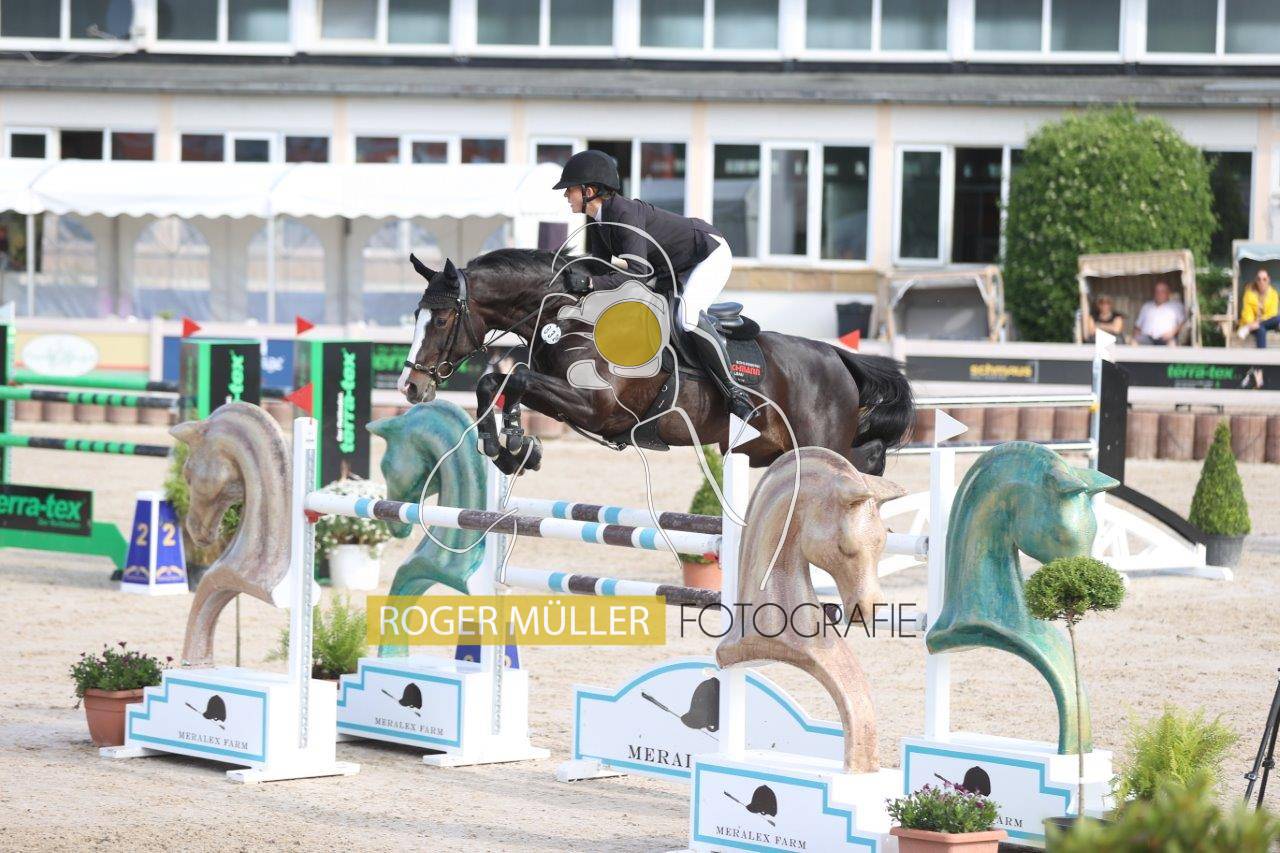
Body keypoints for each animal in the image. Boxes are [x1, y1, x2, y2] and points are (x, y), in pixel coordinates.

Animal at [396, 249, 914, 476]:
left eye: (440, 318)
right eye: (416, 314)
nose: (411, 387)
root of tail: (837, 356)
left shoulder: (598, 407)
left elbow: (517, 376)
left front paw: (515, 444)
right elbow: (496, 382)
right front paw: (510, 450)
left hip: (815, 442)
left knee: (854, 463)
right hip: (768, 450)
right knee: (861, 457)